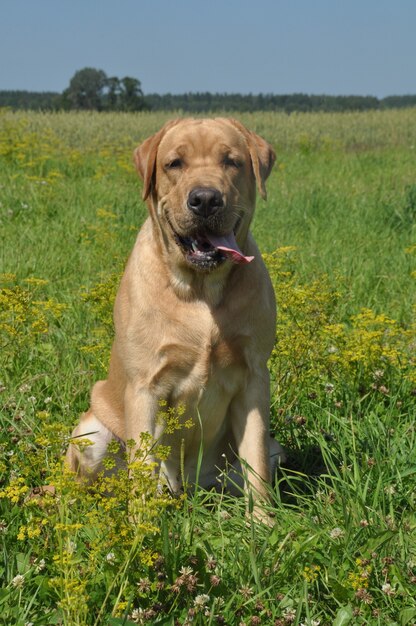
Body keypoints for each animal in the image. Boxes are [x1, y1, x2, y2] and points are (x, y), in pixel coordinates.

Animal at [66, 117, 284, 508]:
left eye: (232, 161)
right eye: (174, 163)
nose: (206, 199)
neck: (201, 290)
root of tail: (188, 485)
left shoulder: (254, 378)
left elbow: (257, 468)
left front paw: (263, 521)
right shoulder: (145, 387)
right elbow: (141, 472)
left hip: (270, 450)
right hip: (91, 435)